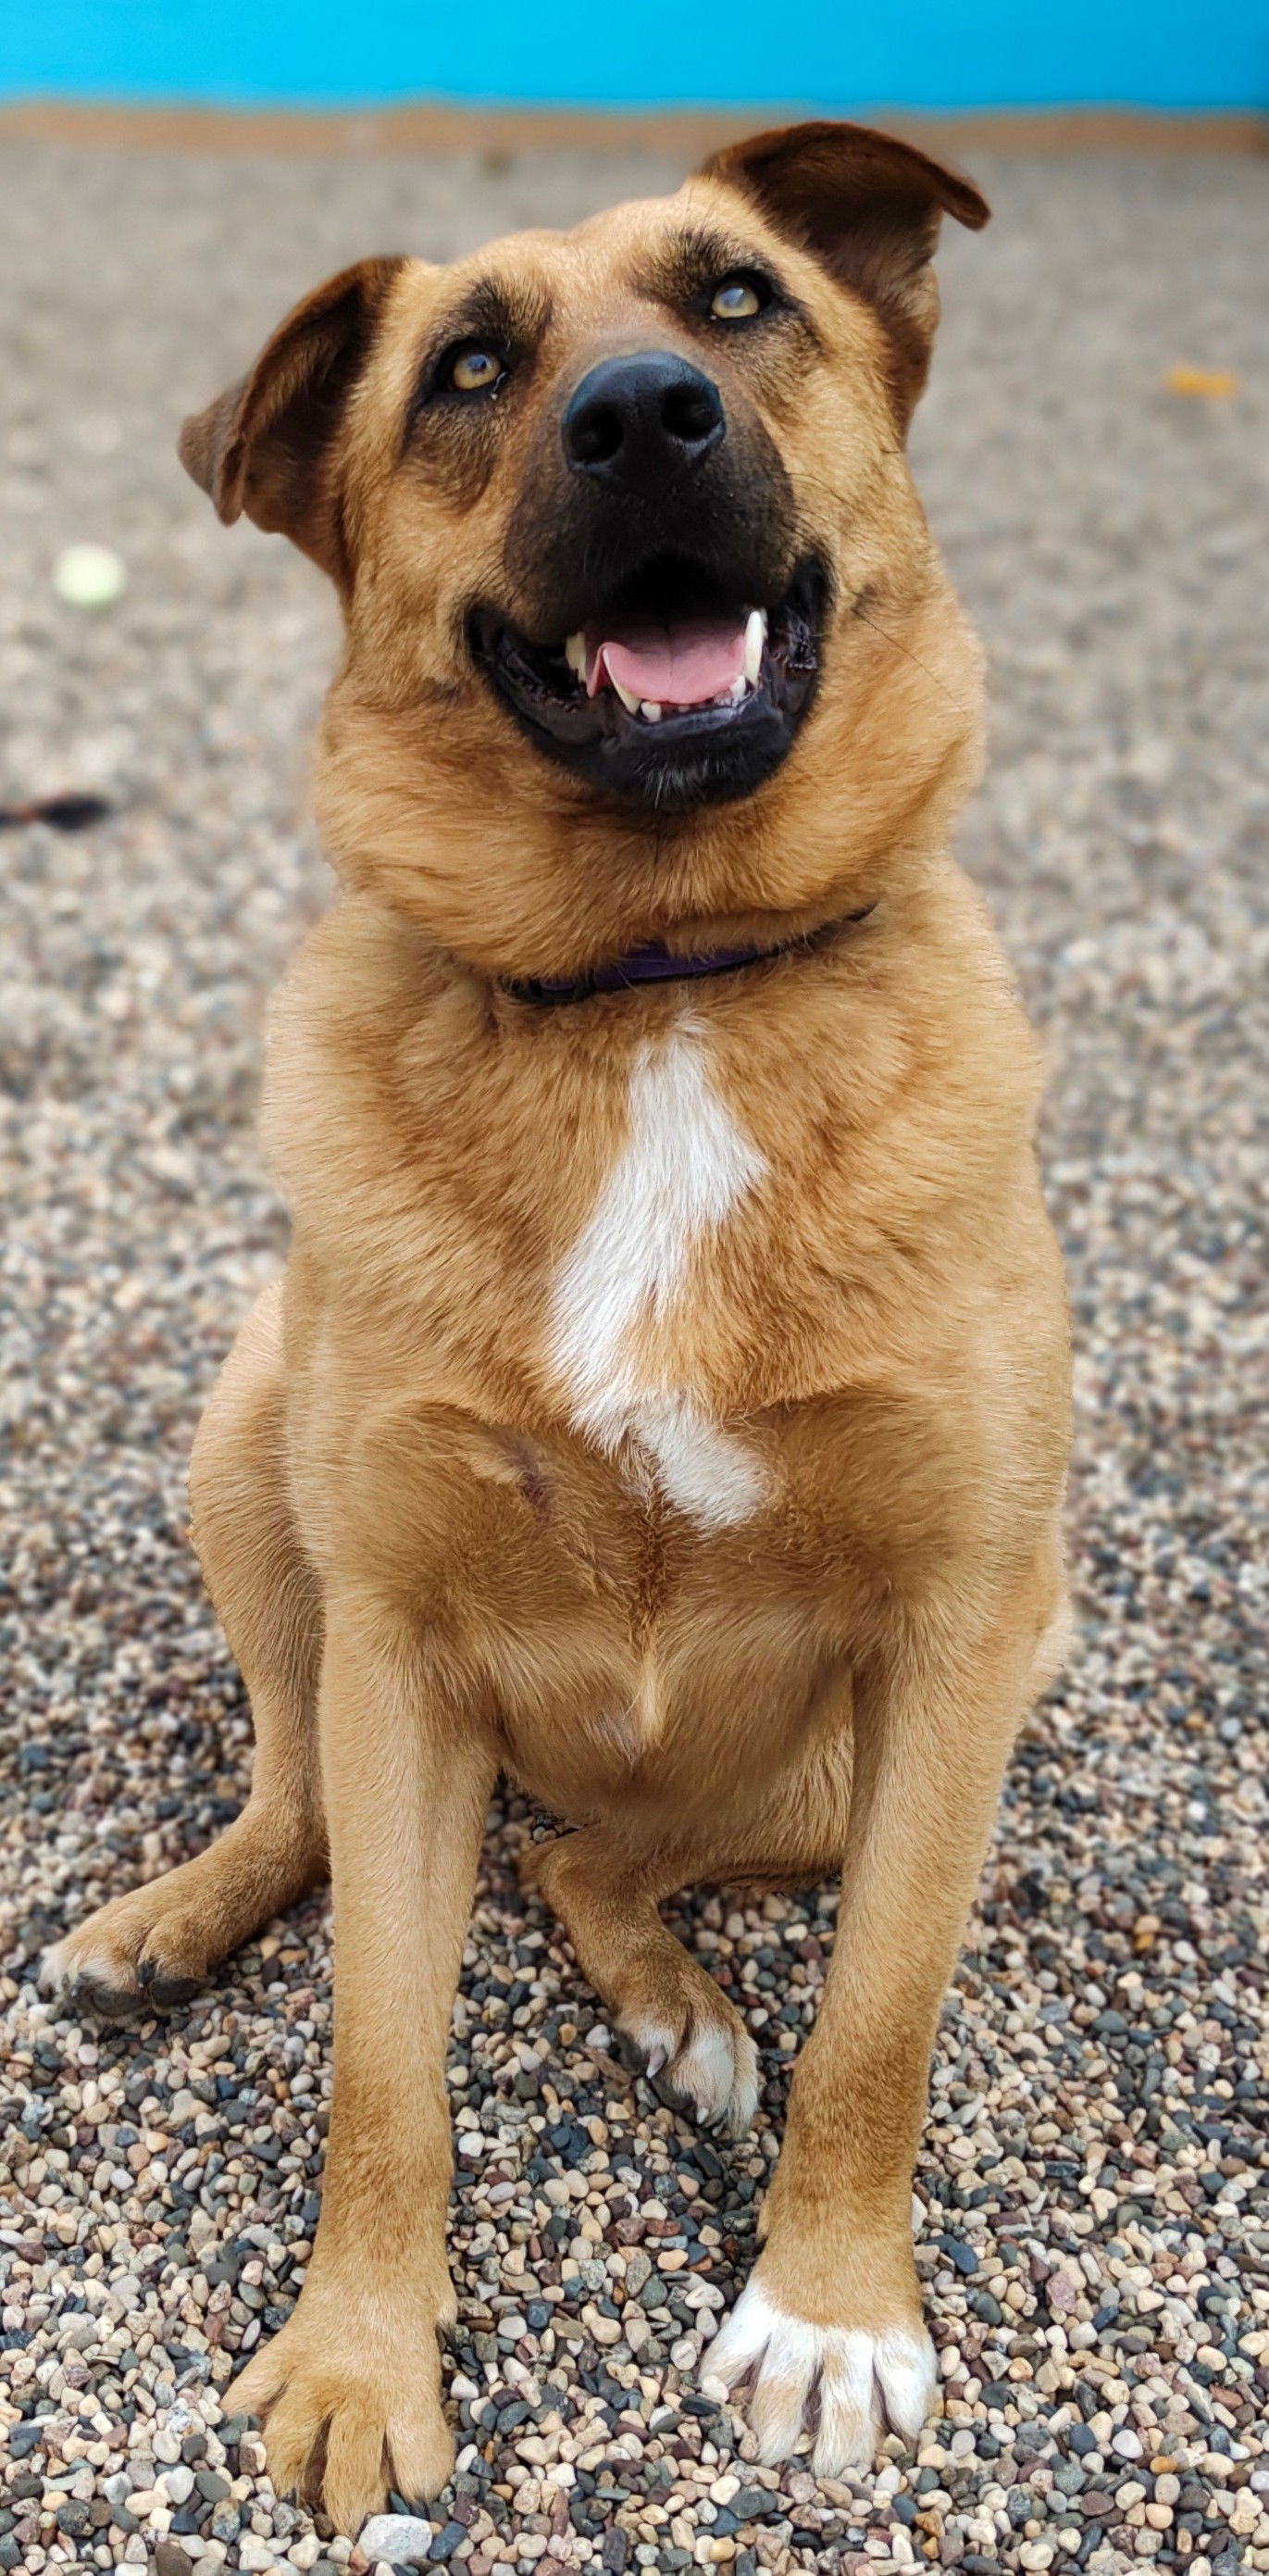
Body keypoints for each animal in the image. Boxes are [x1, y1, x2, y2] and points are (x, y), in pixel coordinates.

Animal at [42, 120, 1070, 2534]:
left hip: (934, 1704)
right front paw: (355, 2359)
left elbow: (877, 2022)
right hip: (254, 1460)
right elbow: (376, 2063)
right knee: (315, 1797)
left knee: (600, 1850)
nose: (641, 421)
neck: (655, 986)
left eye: (737, 301)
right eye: (468, 369)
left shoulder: (952, 1635)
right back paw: (176, 1914)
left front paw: (826, 2308)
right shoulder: (402, 1643)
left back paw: (671, 1998)